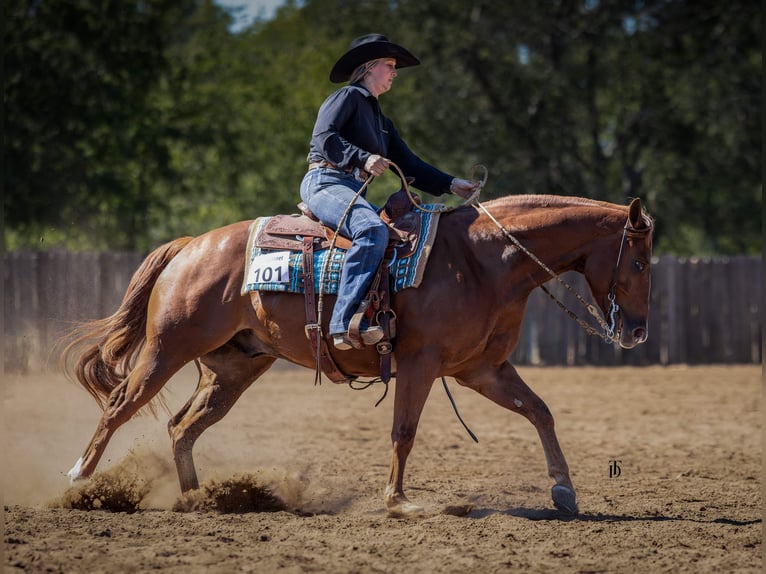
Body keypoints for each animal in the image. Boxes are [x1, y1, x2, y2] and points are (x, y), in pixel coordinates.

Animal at [62, 194, 653, 517]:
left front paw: (563, 490)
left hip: (233, 368)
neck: (482, 260)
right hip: (167, 349)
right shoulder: (421, 364)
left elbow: (540, 412)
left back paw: (198, 499)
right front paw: (398, 501)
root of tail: (188, 246)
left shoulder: (481, 369)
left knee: (183, 427)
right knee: (118, 406)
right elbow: (404, 431)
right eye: (641, 261)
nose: (638, 332)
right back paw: (77, 482)